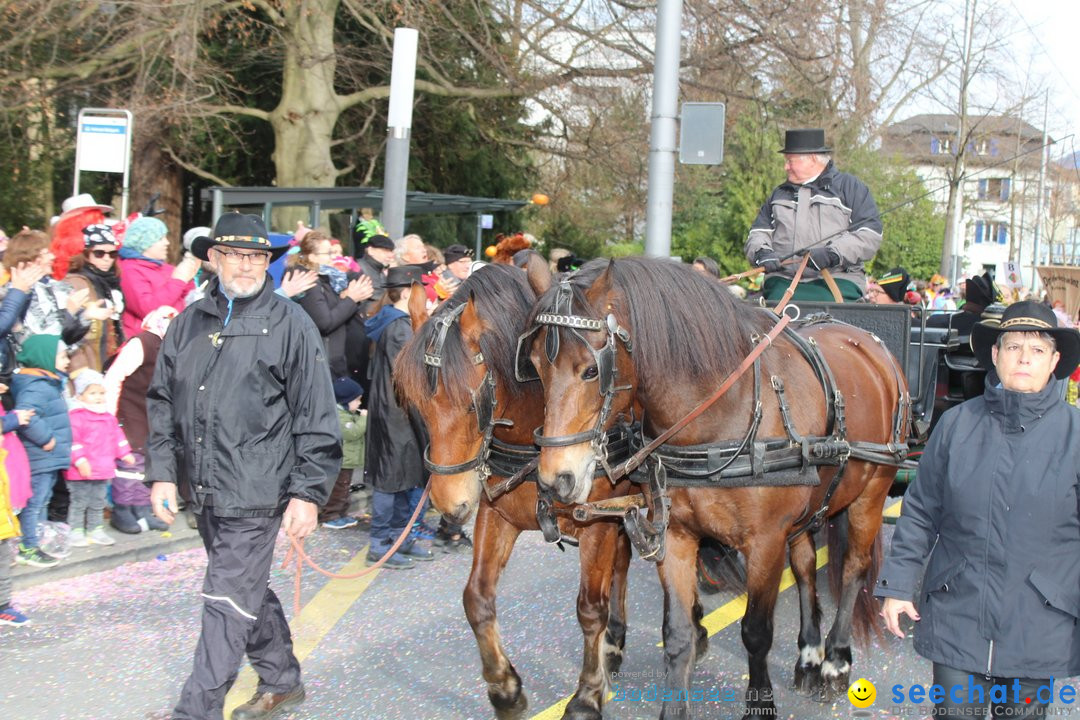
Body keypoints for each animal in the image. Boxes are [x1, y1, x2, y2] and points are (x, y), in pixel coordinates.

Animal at [393, 264, 635, 720]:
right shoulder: (497, 513)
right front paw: (505, 689)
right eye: (414, 404)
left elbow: (590, 609)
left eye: (474, 405)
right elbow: (476, 598)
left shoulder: (598, 520)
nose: (449, 505)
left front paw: (588, 694)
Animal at [527, 257, 907, 716]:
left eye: (590, 369)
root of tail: (870, 344)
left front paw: (761, 705)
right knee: (803, 567)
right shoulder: (676, 534)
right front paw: (674, 708)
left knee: (853, 569)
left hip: (871, 493)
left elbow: (756, 633)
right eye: (535, 366)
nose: (555, 480)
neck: (723, 414)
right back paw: (809, 656)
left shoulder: (764, 542)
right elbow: (676, 633)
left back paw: (835, 661)